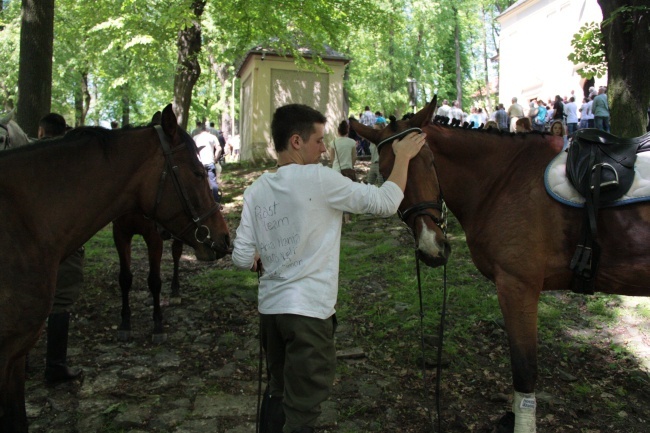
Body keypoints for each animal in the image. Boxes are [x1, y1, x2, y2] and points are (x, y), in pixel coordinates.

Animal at [0, 104, 230, 432]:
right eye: (197, 173)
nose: (224, 238)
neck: (23, 221)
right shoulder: (121, 234)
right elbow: (125, 279)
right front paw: (125, 323)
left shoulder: (152, 237)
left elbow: (154, 280)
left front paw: (157, 324)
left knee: (175, 259)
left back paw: (175, 291)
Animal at [352, 98, 648, 432]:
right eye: (387, 172)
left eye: (429, 162)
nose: (431, 247)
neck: (506, 179)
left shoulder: (518, 286)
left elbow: (524, 369)